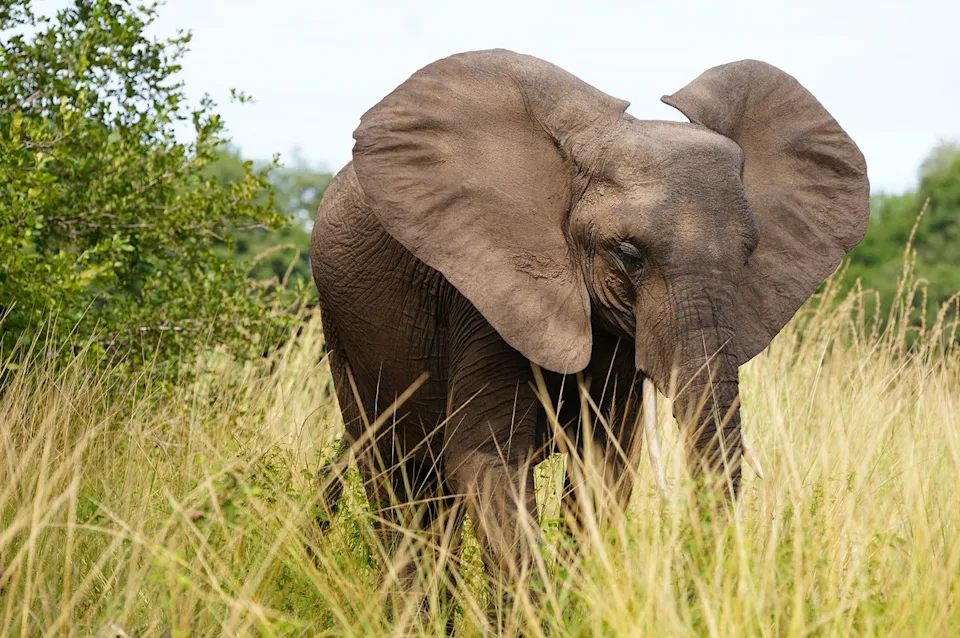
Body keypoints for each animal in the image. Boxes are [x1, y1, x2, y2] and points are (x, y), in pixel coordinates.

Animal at [310, 49, 868, 610]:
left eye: (748, 255)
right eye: (629, 255)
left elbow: (605, 468)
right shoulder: (482, 289)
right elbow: (489, 461)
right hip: (345, 333)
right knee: (399, 481)